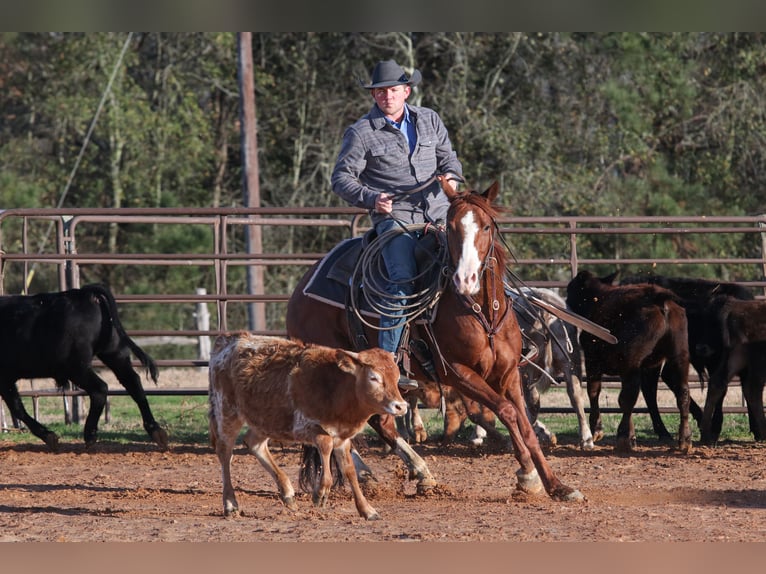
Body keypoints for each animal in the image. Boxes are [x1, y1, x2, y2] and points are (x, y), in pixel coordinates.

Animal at [0, 286, 169, 452]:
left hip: (76, 367)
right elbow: (17, 407)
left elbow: (17, 408)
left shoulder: (5, 379)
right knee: (133, 382)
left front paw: (49, 436)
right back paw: (156, 431)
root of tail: (85, 293)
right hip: (114, 354)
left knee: (100, 389)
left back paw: (90, 434)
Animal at [207, 332, 412, 520]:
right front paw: (321, 493)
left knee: (254, 443)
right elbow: (326, 446)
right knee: (225, 453)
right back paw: (230, 504)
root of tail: (227, 340)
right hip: (227, 412)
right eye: (373, 377)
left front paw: (366, 510)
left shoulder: (342, 437)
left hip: (265, 420)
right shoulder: (305, 428)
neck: (335, 388)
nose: (401, 406)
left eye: (396, 376)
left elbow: (350, 470)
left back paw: (287, 493)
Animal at [286, 178, 584, 502]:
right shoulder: (457, 373)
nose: (465, 279)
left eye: (486, 227)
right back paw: (400, 472)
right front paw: (527, 475)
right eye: (451, 227)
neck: (480, 312)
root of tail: (302, 287)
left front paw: (555, 484)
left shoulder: (508, 374)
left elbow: (523, 421)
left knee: (374, 421)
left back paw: (394, 474)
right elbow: (506, 412)